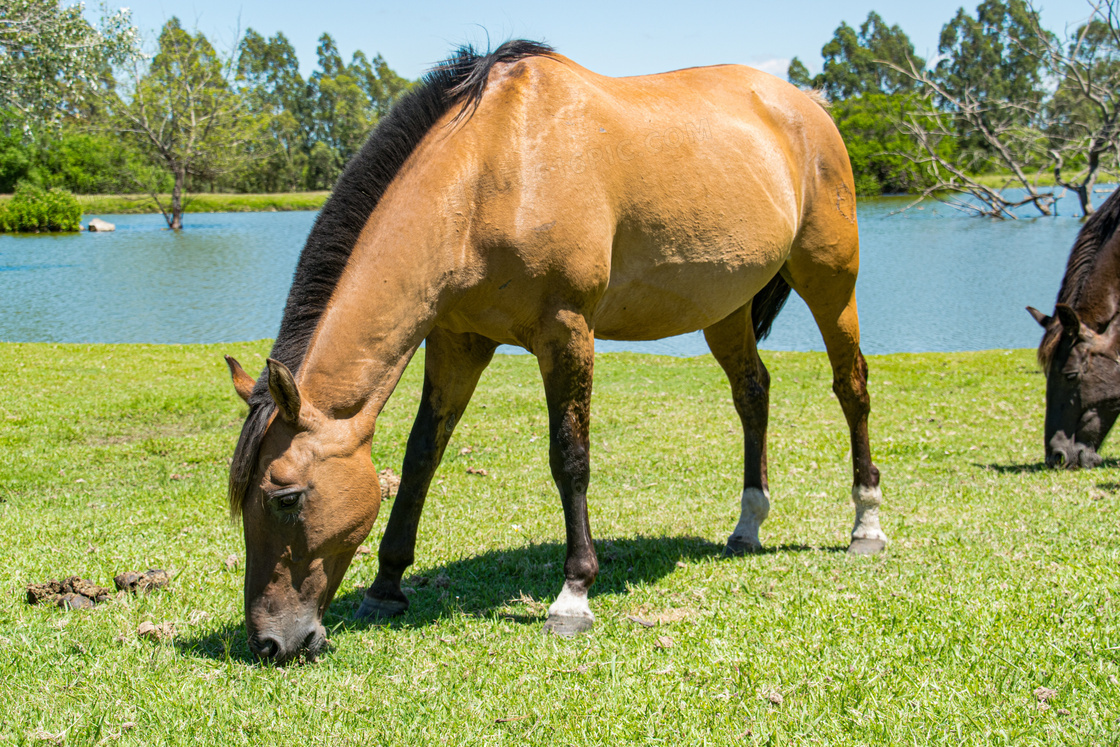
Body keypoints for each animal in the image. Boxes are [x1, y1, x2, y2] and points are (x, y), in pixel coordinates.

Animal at [222, 40, 887, 663]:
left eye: (284, 497)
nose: (270, 643)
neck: (493, 168)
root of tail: (808, 105)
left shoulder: (566, 333)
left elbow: (570, 458)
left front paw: (573, 596)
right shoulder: (458, 342)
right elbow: (421, 456)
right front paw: (387, 586)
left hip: (830, 279)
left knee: (851, 387)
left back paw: (866, 523)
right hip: (726, 308)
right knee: (753, 394)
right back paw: (748, 526)